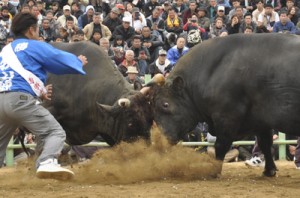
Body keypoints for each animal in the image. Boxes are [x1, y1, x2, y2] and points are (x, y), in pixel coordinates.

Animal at [148, 33, 300, 176]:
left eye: (165, 104)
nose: (161, 139)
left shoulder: (226, 116)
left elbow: (221, 144)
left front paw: (214, 170)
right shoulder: (260, 120)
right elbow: (265, 143)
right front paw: (269, 170)